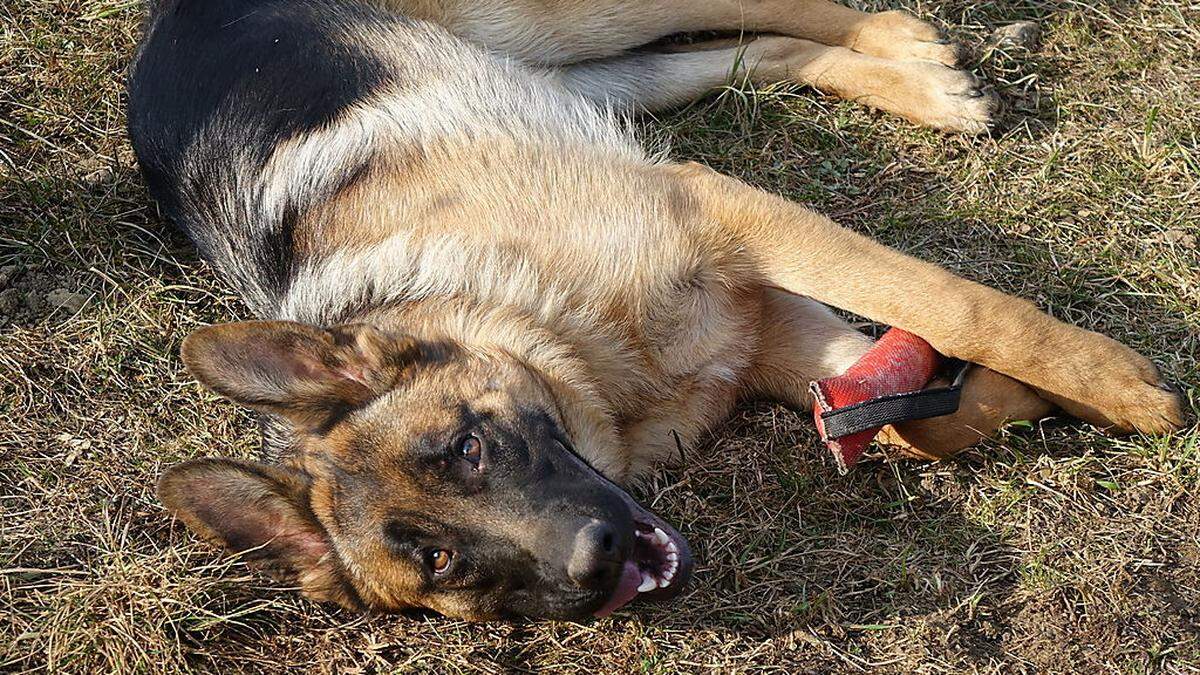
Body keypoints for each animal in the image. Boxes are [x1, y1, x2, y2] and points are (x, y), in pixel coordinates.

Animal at [129, 0, 1180, 619]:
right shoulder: (767, 327)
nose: (595, 563)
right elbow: (916, 412)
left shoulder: (725, 219)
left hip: (556, 21)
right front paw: (1030, 403)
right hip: (564, 76)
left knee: (753, 8)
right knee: (744, 53)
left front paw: (1119, 388)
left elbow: (958, 308)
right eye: (439, 560)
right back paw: (922, 82)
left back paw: (907, 45)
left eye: (467, 447)